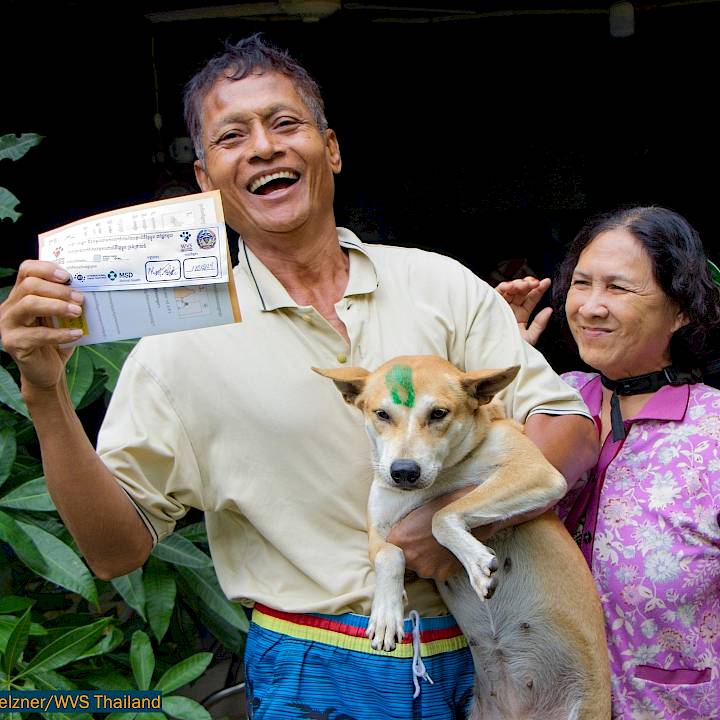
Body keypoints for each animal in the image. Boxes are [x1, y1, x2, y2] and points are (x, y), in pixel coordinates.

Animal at [314, 356, 608, 720]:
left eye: (439, 413)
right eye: (381, 414)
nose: (404, 472)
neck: (440, 478)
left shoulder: (534, 472)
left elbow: (441, 516)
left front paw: (476, 562)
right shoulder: (379, 531)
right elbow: (389, 556)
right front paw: (385, 612)